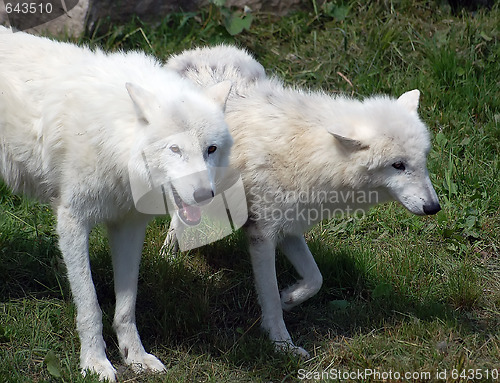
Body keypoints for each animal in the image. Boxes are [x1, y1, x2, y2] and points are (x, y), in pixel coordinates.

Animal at [0, 28, 232, 382]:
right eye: (175, 149)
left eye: (211, 149)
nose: (205, 195)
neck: (114, 138)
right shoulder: (72, 222)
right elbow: (91, 306)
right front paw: (95, 364)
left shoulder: (129, 227)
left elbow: (126, 306)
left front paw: (135, 357)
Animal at [165, 46, 442, 358]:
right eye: (398, 165)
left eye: (422, 160)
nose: (434, 207)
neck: (307, 151)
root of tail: (193, 52)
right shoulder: (262, 234)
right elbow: (270, 298)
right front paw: (281, 345)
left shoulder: (289, 228)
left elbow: (315, 279)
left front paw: (290, 297)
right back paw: (168, 251)